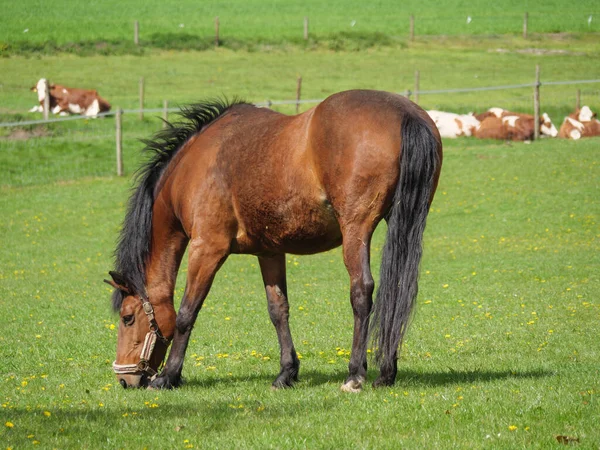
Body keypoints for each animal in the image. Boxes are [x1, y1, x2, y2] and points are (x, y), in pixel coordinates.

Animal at [104, 89, 440, 392]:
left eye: (128, 318)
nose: (124, 379)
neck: (193, 166)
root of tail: (404, 113)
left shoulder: (207, 248)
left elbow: (187, 313)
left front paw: (168, 377)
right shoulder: (269, 252)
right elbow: (278, 310)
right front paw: (286, 373)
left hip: (356, 231)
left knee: (362, 292)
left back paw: (355, 374)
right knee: (397, 289)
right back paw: (386, 373)